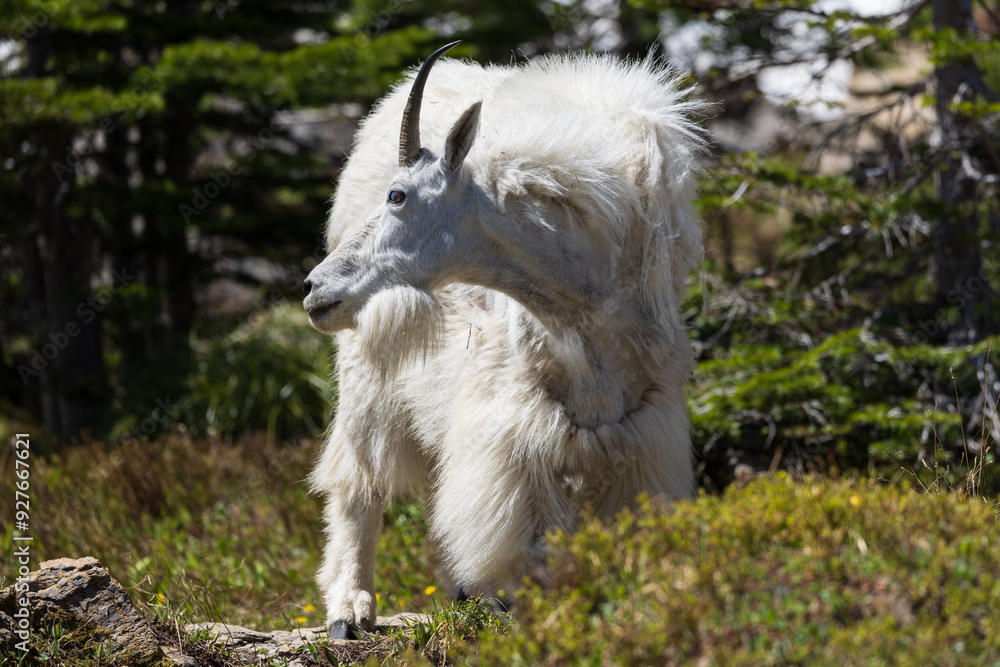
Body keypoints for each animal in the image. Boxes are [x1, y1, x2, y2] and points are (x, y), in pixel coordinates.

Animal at [303, 42, 704, 638]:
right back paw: (350, 608)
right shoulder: (514, 430)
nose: (314, 289)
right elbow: (527, 546)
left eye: (398, 195)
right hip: (366, 364)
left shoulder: (638, 431)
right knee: (358, 480)